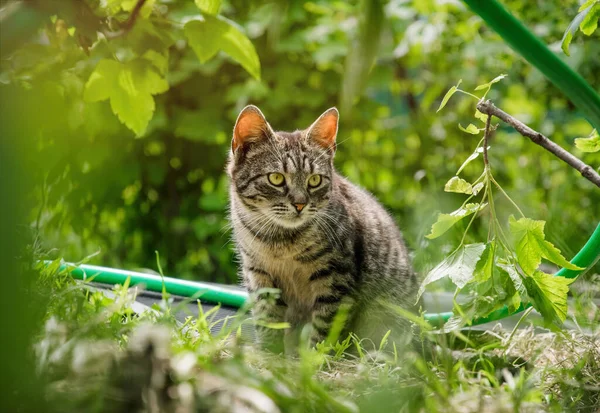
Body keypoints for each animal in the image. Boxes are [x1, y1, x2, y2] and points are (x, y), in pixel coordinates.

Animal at [227, 106, 414, 350]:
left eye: (314, 180)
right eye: (276, 178)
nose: (300, 204)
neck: (280, 241)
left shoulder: (335, 278)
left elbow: (324, 329)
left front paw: (314, 356)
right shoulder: (258, 274)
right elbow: (267, 320)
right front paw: (270, 354)